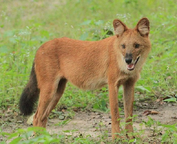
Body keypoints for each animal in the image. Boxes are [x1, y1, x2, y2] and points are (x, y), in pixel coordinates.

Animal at [20, 17, 151, 139]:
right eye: (123, 46)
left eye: (136, 45)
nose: (128, 60)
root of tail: (40, 48)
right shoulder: (112, 85)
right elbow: (115, 114)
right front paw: (117, 138)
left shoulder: (129, 84)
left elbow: (129, 114)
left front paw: (131, 137)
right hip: (49, 90)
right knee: (36, 117)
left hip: (58, 92)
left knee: (43, 117)